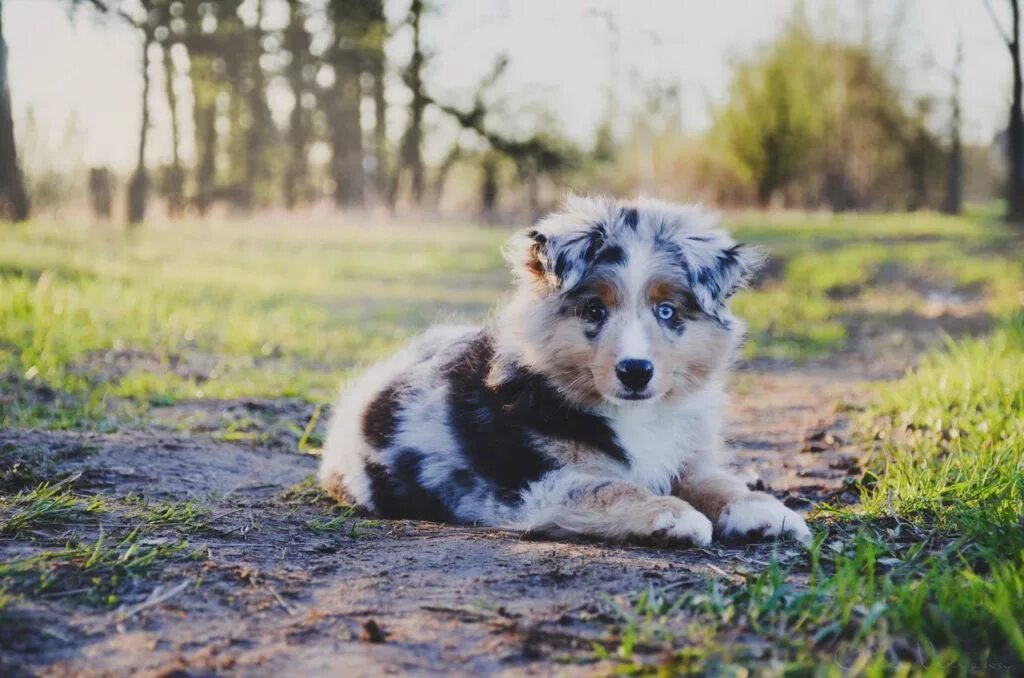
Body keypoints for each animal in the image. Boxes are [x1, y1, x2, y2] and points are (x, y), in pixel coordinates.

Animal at [315, 196, 811, 548]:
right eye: (594, 309)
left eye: (667, 311)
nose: (635, 372)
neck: (635, 416)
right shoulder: (535, 481)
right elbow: (612, 487)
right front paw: (671, 514)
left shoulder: (685, 453)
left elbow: (717, 480)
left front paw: (763, 509)